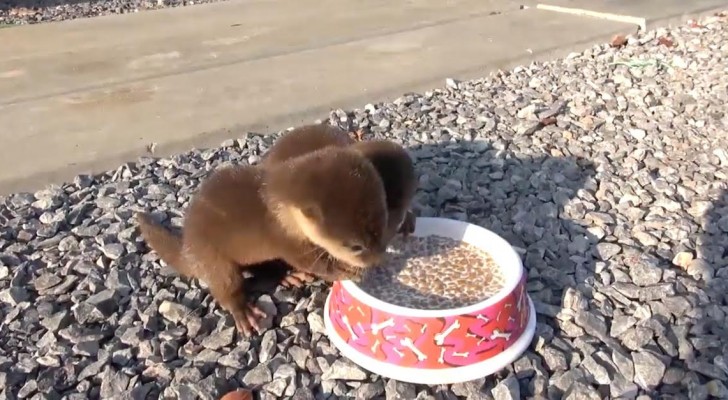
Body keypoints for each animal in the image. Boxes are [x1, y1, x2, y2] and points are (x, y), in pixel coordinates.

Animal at [136, 145, 386, 336]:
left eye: (384, 226)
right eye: (355, 246)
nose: (378, 260)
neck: (281, 211)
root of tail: (188, 245)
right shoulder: (286, 239)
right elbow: (313, 262)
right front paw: (347, 269)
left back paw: (287, 276)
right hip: (212, 257)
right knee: (225, 286)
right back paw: (244, 312)